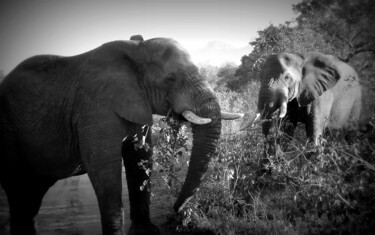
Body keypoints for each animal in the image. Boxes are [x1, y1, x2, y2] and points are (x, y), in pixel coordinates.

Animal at [0, 35, 244, 235]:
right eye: (170, 79)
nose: (177, 209)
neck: (137, 50)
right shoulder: (94, 109)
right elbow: (104, 168)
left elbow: (141, 159)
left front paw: (146, 232)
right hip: (8, 134)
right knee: (20, 191)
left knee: (30, 198)